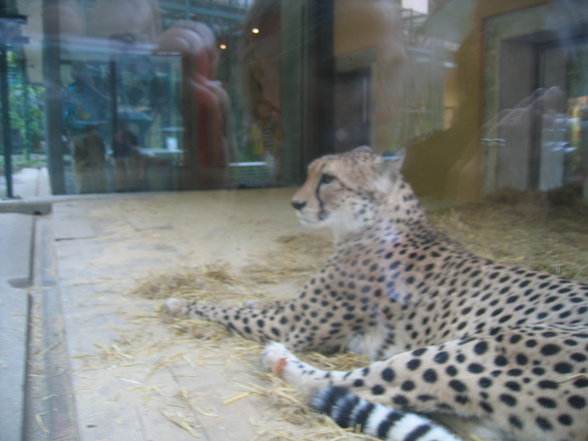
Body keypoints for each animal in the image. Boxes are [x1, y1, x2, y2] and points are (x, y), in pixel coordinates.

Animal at [165, 146, 588, 438]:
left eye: (328, 179)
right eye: (310, 173)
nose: (296, 203)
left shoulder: (292, 324)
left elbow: (224, 309)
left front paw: (179, 303)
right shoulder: (294, 310)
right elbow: (260, 302)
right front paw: (249, 297)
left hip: (481, 347)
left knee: (342, 383)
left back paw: (277, 358)